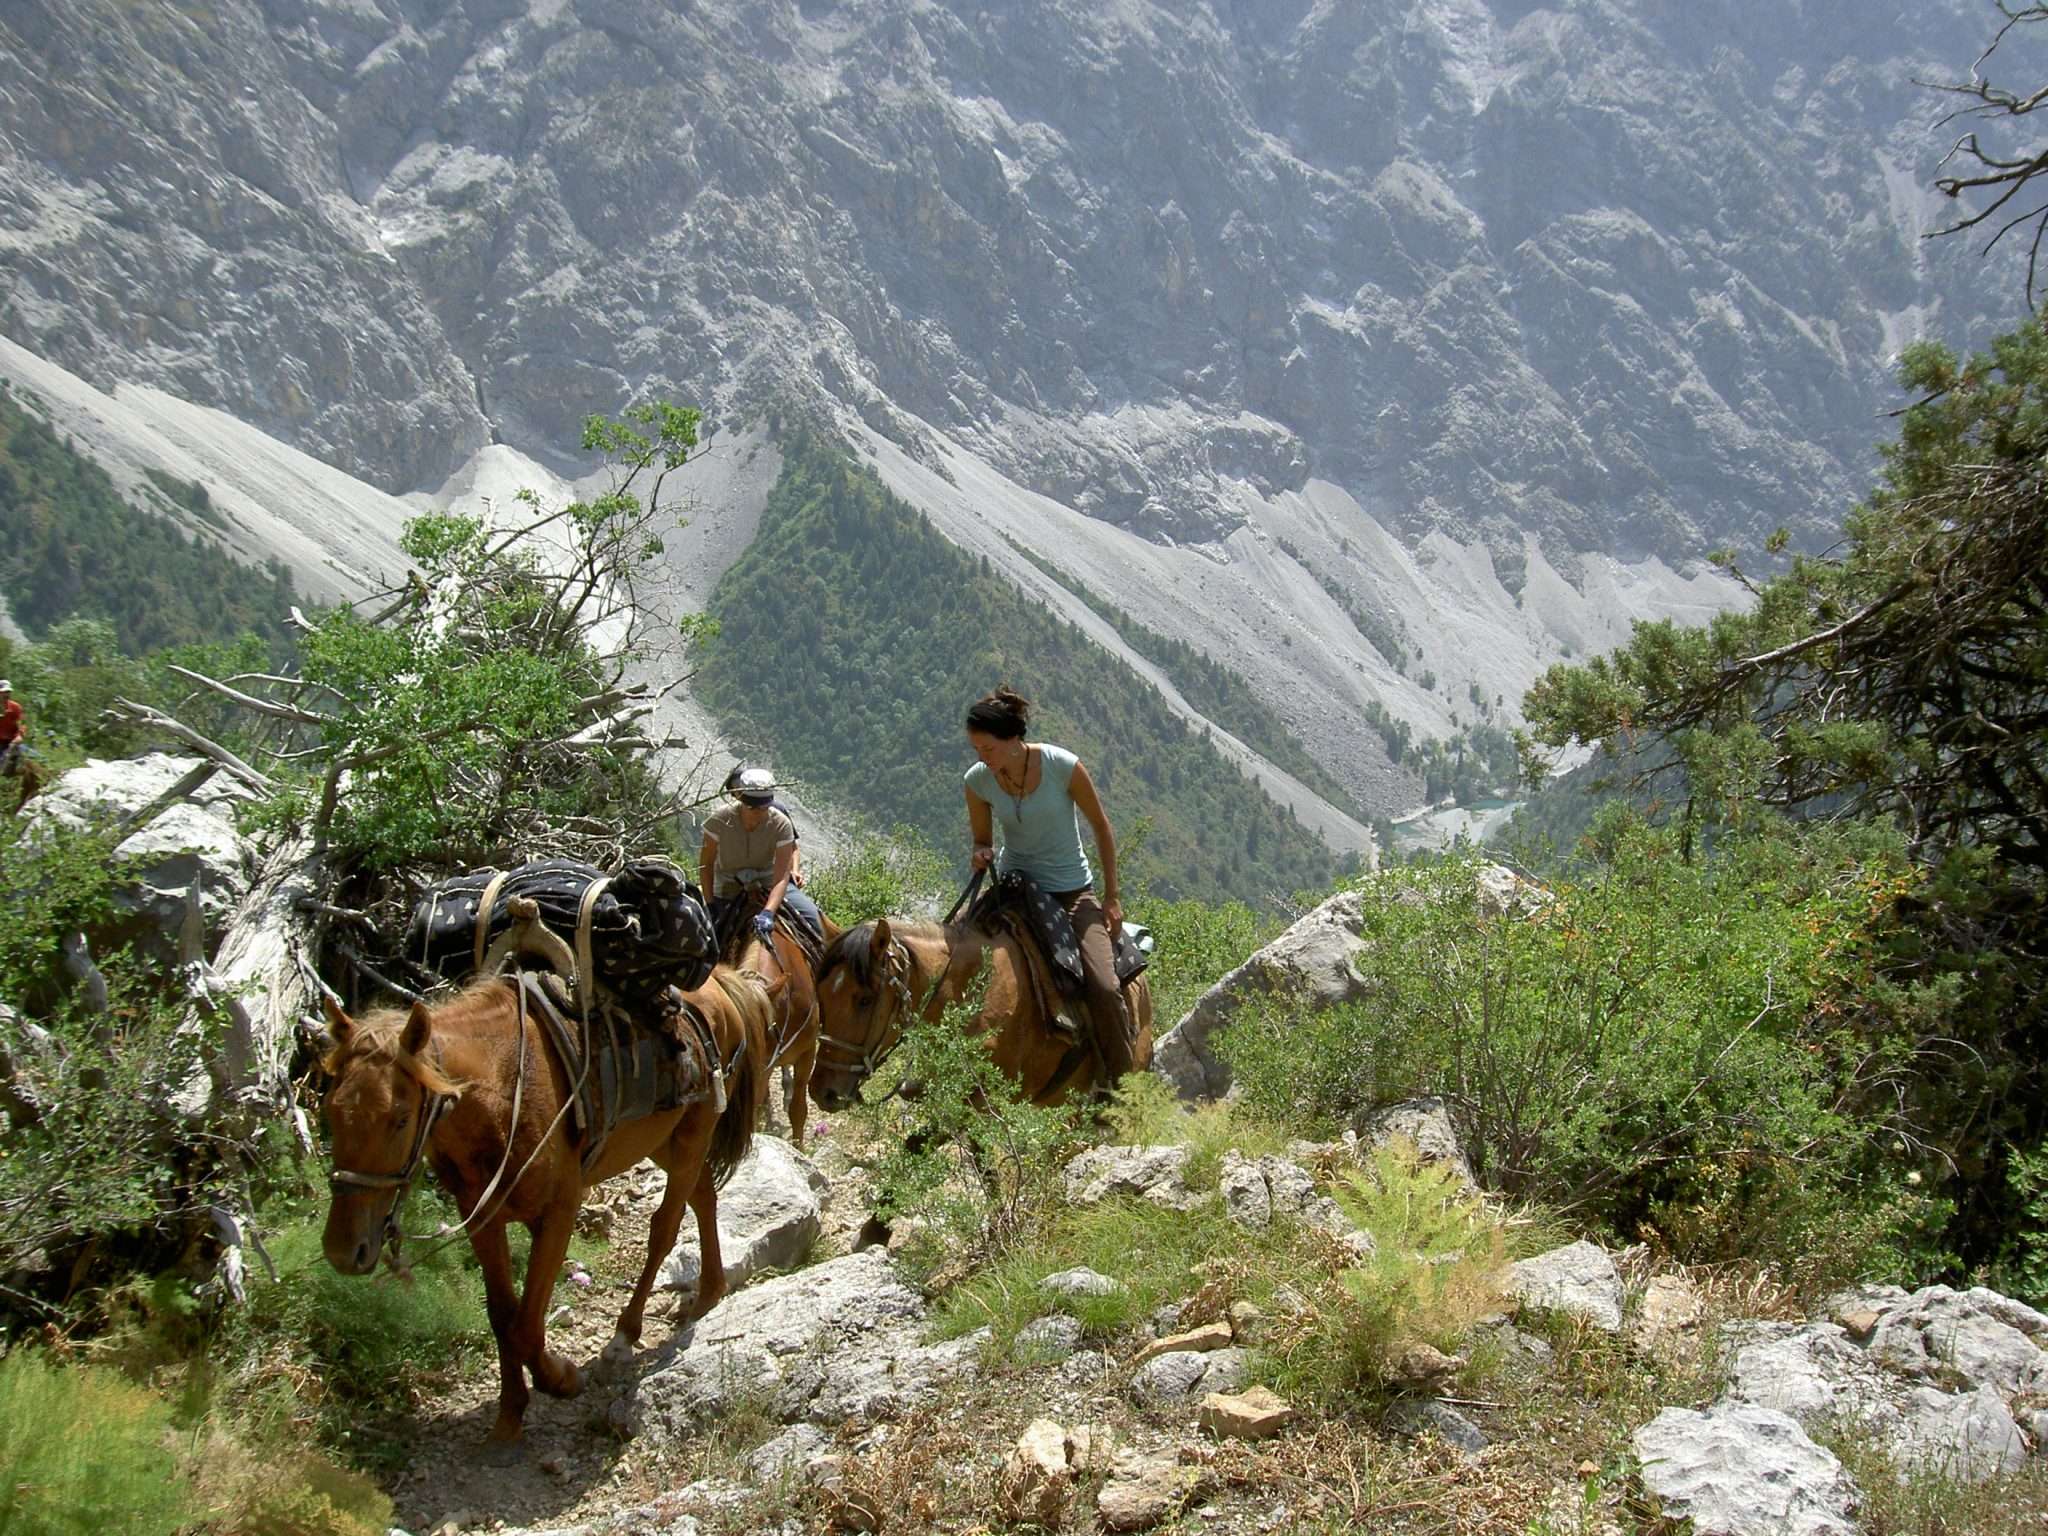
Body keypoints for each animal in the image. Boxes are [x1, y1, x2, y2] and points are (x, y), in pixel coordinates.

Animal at [319, 966, 771, 1450]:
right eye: (331, 1109)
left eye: (401, 1119)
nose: (344, 1252)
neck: (502, 1089)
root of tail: (720, 982)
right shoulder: (481, 1217)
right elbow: (502, 1316)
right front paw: (509, 1414)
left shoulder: (557, 1214)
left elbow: (526, 1326)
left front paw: (561, 1379)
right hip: (660, 1141)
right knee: (703, 1195)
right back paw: (709, 1291)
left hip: (691, 1135)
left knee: (664, 1229)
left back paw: (625, 1334)